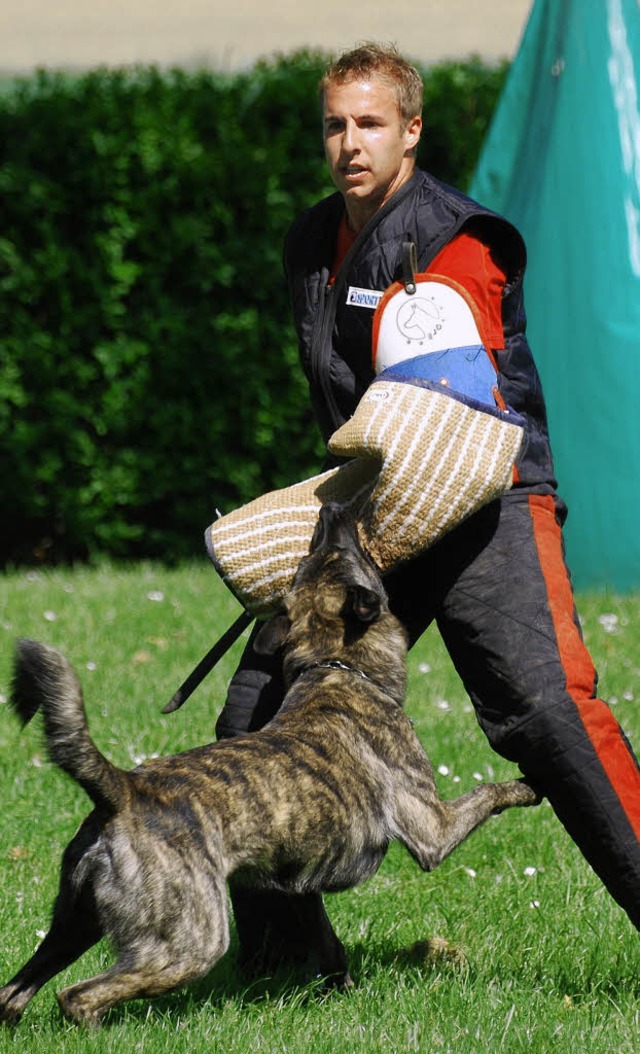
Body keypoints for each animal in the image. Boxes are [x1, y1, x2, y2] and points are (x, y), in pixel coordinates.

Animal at [0, 505, 539, 1024]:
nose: (331, 509)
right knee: (78, 997)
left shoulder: (298, 885)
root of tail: (123, 790)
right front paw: (529, 786)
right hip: (188, 943)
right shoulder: (432, 828)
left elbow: (329, 945)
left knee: (14, 993)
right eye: (346, 557)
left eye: (310, 561)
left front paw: (342, 990)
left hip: (73, 926)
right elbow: (488, 792)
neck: (336, 668)